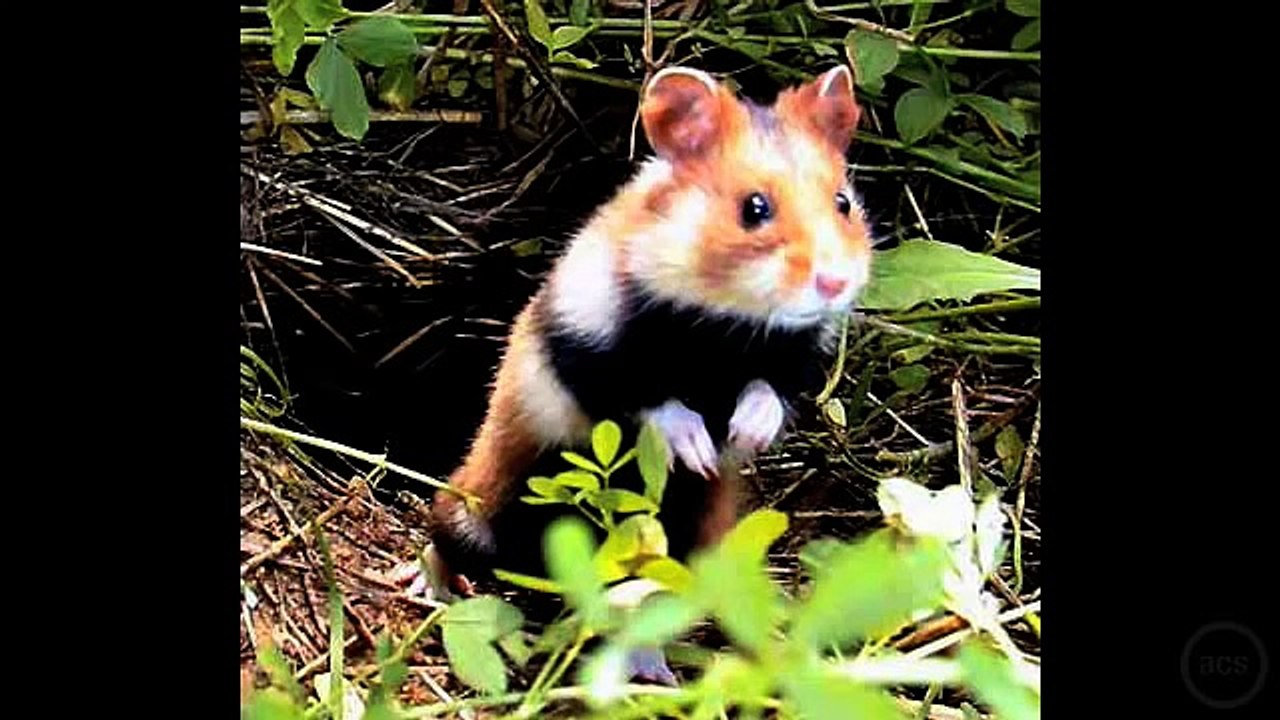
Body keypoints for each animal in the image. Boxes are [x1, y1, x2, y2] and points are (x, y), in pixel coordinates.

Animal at [422, 62, 874, 678]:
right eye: (754, 208)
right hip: (484, 497)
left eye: (843, 203)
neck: (723, 327)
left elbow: (771, 390)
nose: (834, 282)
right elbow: (644, 395)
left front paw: (741, 436)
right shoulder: (584, 342)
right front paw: (698, 448)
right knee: (447, 534)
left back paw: (652, 669)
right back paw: (427, 587)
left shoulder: (795, 354)